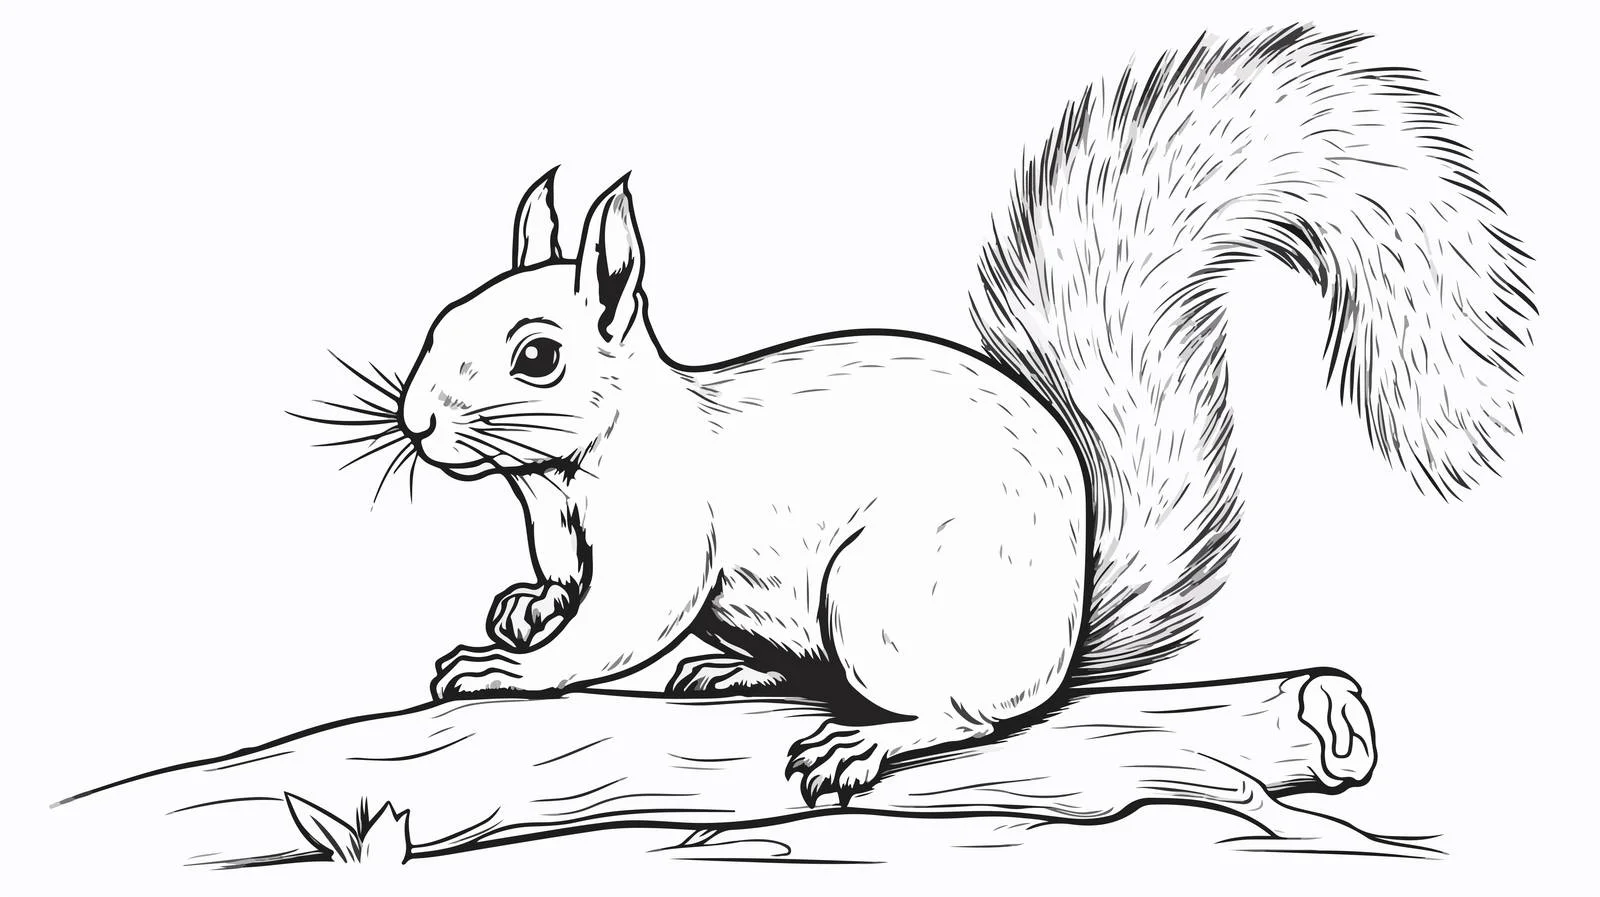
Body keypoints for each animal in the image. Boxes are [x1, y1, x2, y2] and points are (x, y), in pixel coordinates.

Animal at [375, 26, 1534, 806]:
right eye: (441, 321)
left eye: (537, 356)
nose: (419, 424)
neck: (567, 475)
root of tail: (1063, 644)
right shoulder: (561, 528)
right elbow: (565, 589)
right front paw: (524, 608)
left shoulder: (666, 534)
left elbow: (617, 625)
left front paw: (508, 670)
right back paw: (737, 667)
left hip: (888, 597)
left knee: (970, 713)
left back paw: (865, 740)